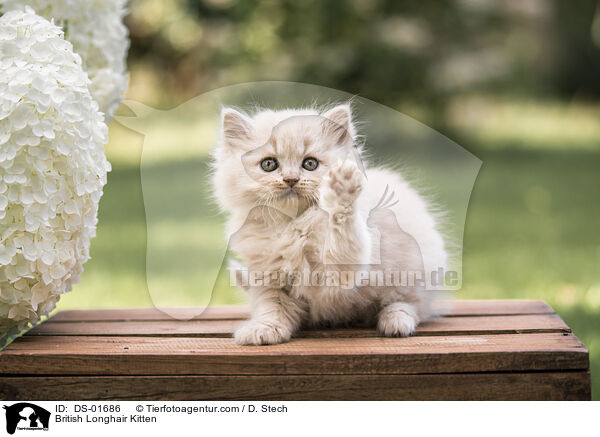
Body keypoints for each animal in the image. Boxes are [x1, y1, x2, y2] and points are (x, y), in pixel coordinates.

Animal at [212, 103, 446, 344]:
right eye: (268, 164)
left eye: (310, 164)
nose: (290, 179)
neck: (292, 225)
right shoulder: (268, 275)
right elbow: (272, 306)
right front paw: (264, 329)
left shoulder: (341, 269)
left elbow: (343, 234)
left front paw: (342, 192)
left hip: (415, 275)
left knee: (410, 305)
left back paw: (395, 322)